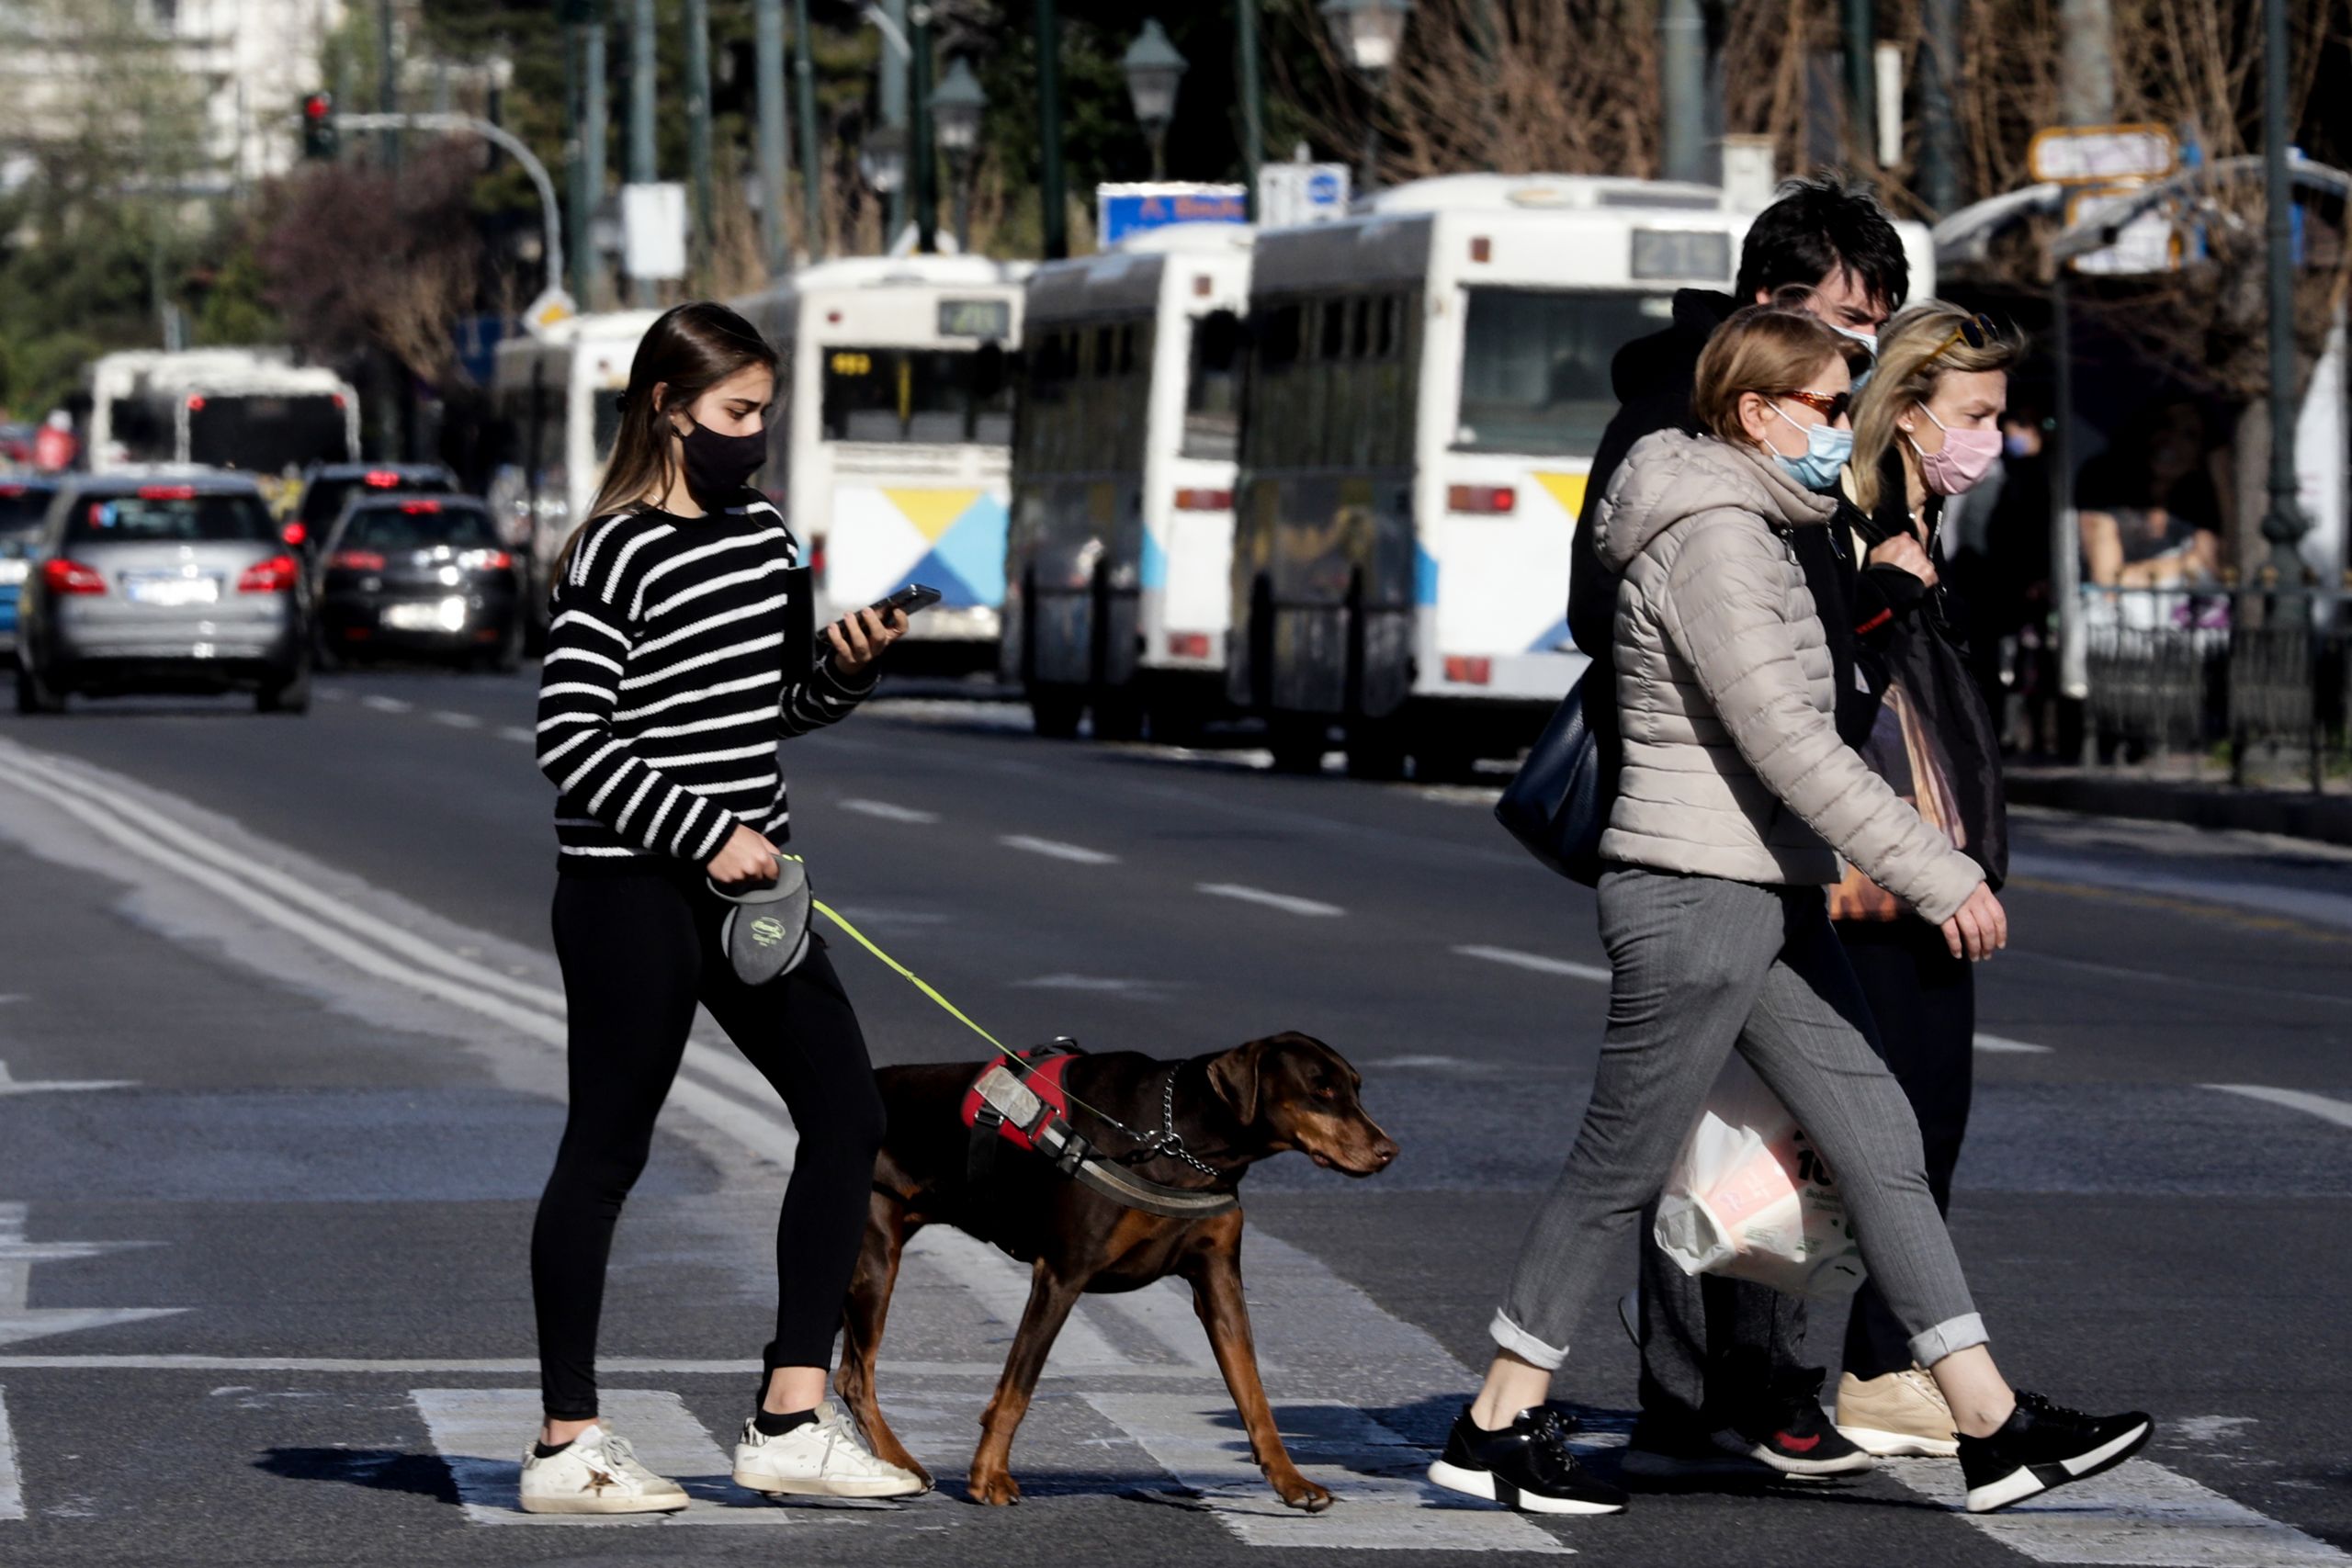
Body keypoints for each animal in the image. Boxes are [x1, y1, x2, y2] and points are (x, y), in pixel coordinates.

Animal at [837, 1034, 1392, 1514]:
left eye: (1356, 1087)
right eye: (1319, 1089)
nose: (1389, 1150)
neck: (1175, 1137)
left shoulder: (1219, 1280)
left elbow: (1252, 1391)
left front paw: (1291, 1481)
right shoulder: (1062, 1274)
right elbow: (1018, 1387)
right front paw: (989, 1476)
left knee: (847, 1374)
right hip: (873, 1257)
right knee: (858, 1378)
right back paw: (902, 1465)